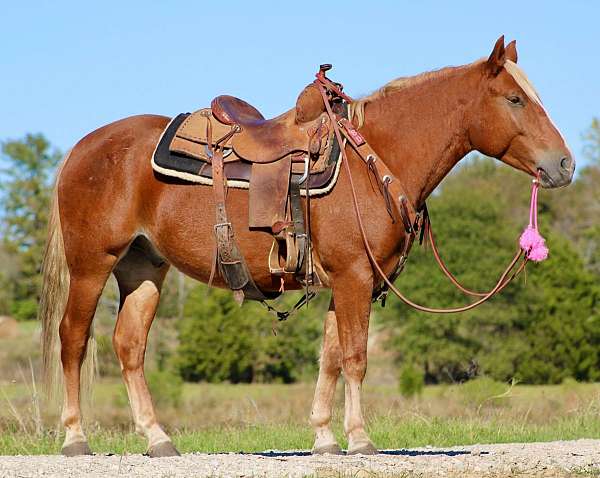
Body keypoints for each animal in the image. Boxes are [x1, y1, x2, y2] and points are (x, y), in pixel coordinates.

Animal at [39, 36, 576, 456]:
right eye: (515, 99)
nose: (565, 164)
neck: (373, 160)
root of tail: (83, 147)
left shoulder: (346, 281)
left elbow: (331, 357)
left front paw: (324, 437)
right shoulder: (355, 276)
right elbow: (356, 357)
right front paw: (359, 439)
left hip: (144, 267)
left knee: (129, 345)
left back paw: (158, 439)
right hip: (92, 265)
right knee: (73, 339)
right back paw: (75, 438)